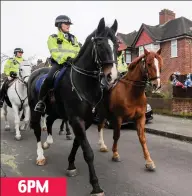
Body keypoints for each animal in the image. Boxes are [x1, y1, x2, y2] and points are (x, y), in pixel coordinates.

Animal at [27, 17, 118, 195]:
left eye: (116, 44)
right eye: (100, 44)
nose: (112, 76)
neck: (84, 83)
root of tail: (35, 73)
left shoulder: (85, 120)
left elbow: (77, 143)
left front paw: (70, 165)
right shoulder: (76, 119)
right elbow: (88, 151)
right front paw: (96, 186)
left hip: (55, 111)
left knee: (49, 122)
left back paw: (48, 142)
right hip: (35, 110)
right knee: (37, 130)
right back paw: (40, 156)